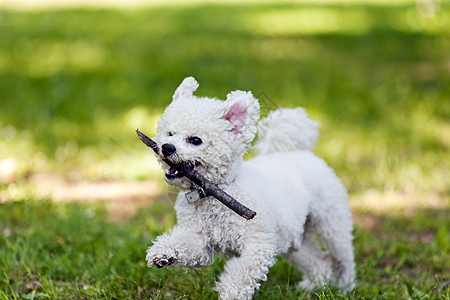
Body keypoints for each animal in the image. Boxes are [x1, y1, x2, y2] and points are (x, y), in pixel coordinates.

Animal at [144, 76, 356, 298]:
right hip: (294, 242)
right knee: (317, 261)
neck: (216, 194)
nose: (167, 147)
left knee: (343, 259)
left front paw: (231, 295)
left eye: (195, 140)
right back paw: (314, 286)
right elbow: (187, 246)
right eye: (170, 133)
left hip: (331, 224)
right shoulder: (200, 243)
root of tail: (303, 153)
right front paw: (164, 253)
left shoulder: (258, 244)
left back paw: (345, 287)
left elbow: (240, 275)